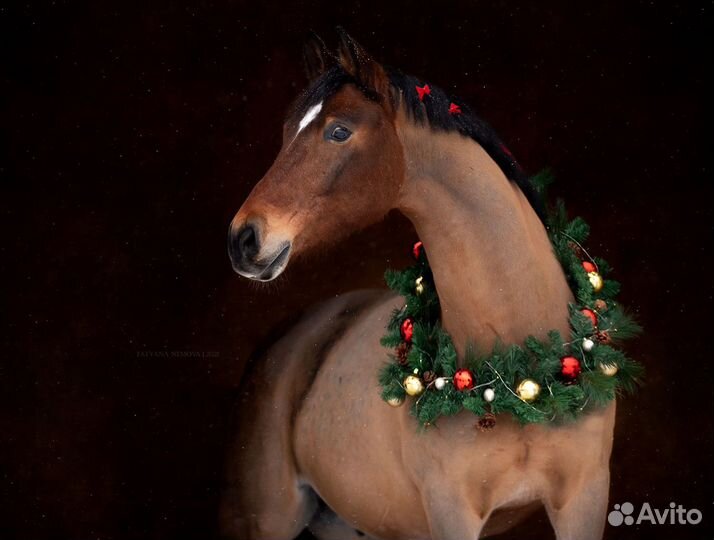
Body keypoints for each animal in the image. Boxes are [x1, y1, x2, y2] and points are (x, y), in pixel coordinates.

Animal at [220, 29, 615, 540]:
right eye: (288, 134)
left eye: (338, 131)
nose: (243, 239)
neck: (517, 375)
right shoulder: (450, 510)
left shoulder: (585, 498)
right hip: (262, 520)